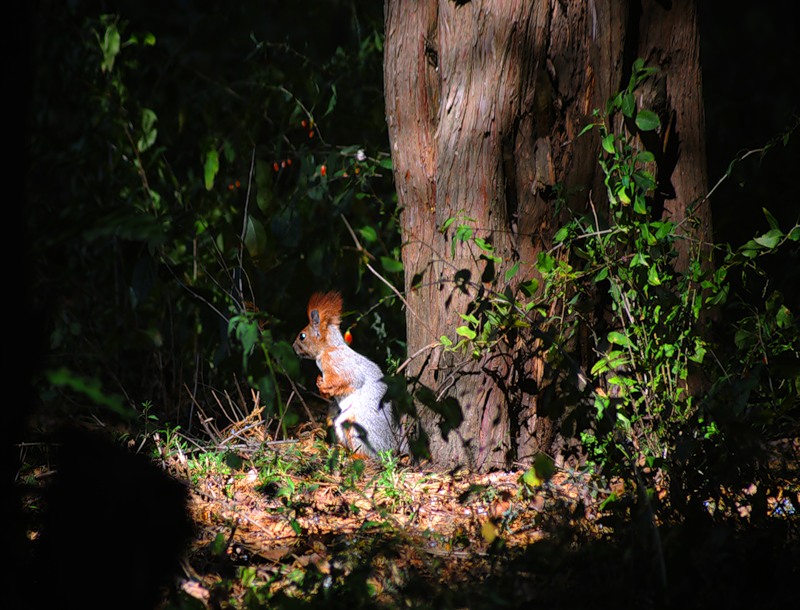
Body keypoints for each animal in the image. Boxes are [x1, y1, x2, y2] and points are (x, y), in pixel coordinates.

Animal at [292, 290, 406, 456]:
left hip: (357, 427)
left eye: (302, 336)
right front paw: (319, 383)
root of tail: (391, 447)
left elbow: (349, 380)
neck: (329, 348)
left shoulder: (339, 364)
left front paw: (324, 386)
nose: (293, 347)